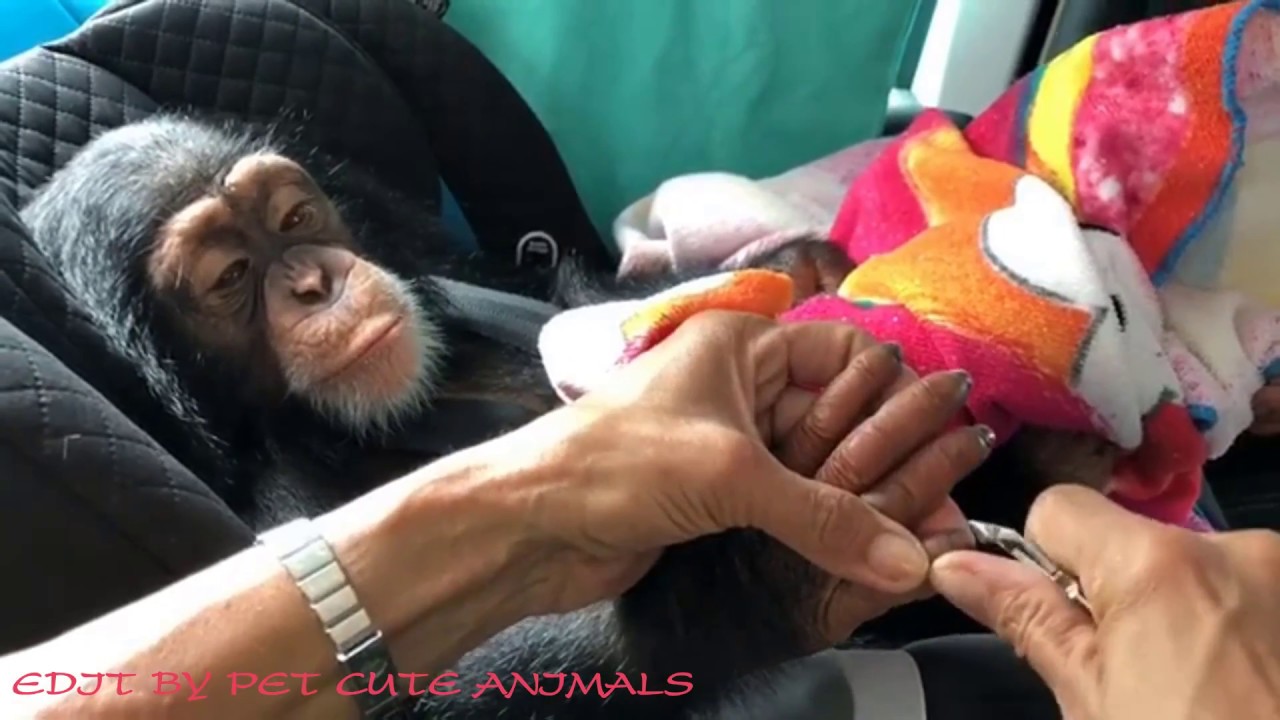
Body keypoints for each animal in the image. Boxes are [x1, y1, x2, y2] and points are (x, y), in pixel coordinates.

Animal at [18, 114, 1105, 719]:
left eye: (293, 219)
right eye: (231, 277)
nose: (314, 280)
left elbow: (592, 296)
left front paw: (807, 269)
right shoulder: (279, 490)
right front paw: (768, 568)